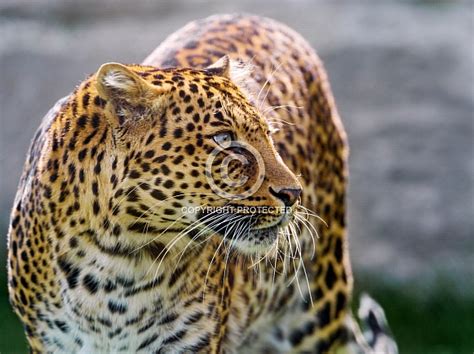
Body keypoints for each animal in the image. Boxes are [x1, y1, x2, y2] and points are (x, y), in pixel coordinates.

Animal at [7, 12, 396, 352]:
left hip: (317, 306)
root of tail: (261, 18)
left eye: (269, 135)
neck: (120, 262)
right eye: (224, 140)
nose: (293, 193)